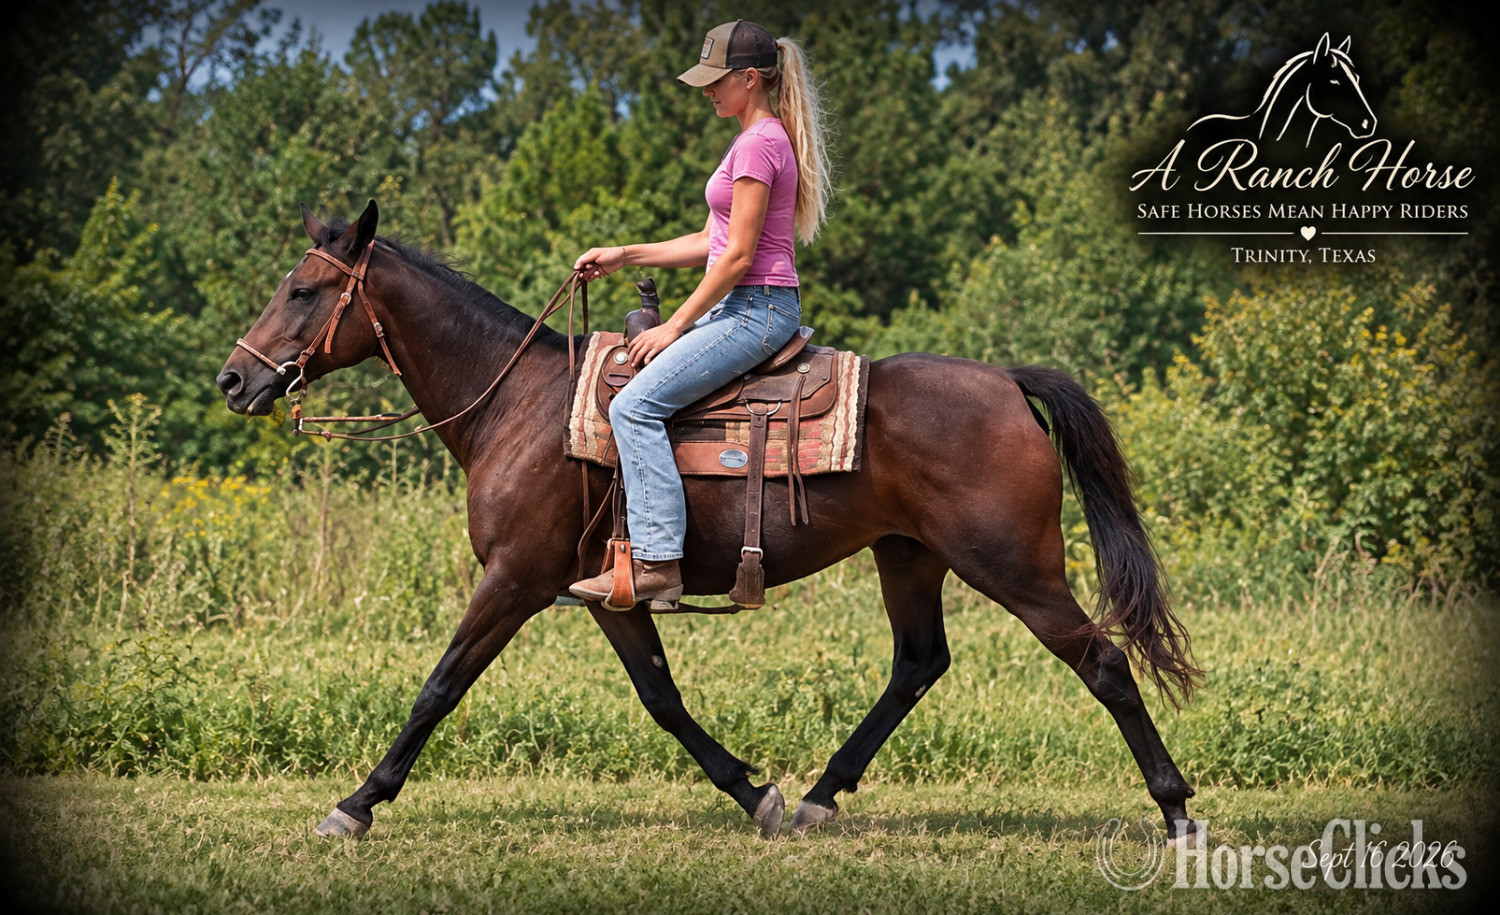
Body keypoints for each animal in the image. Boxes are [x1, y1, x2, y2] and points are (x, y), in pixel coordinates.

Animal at [216, 201, 1203, 843]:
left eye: (303, 290)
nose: (235, 378)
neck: (516, 406)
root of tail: (1006, 381)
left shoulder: (514, 579)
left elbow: (439, 685)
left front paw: (354, 804)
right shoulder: (608, 593)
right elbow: (662, 696)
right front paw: (754, 792)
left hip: (1016, 566)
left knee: (1103, 662)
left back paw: (1178, 809)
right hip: (910, 555)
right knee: (918, 664)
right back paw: (817, 796)